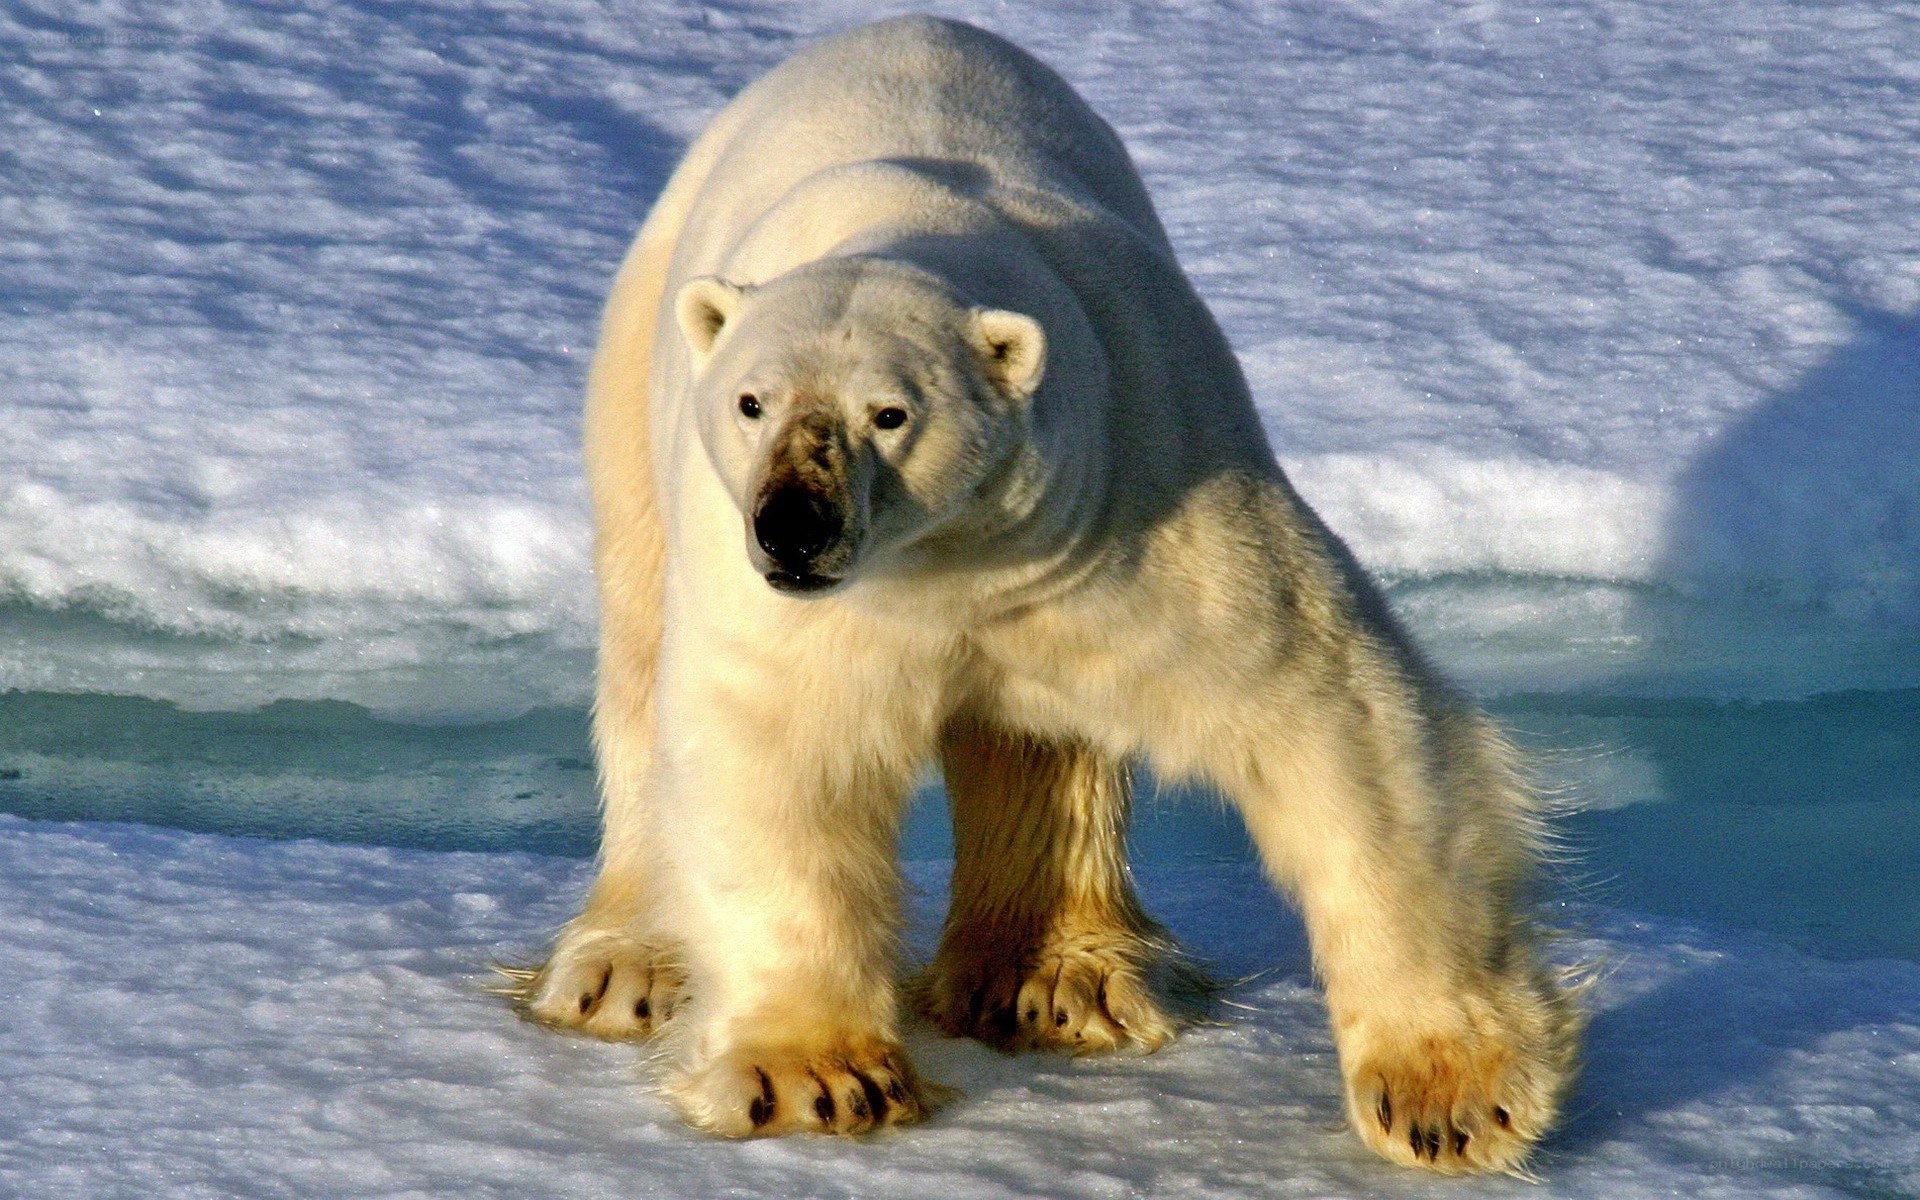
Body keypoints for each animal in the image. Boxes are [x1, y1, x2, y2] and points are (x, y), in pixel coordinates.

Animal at [504, 14, 1580, 1174]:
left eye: (890, 413)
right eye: (753, 401)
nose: (793, 525)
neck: (948, 567)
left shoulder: (1133, 498)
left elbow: (1330, 718)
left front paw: (1449, 1097)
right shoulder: (796, 605)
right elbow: (775, 754)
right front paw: (813, 1078)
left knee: (1048, 753)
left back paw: (1060, 980)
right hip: (636, 375)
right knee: (638, 650)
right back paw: (623, 966)